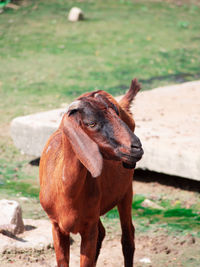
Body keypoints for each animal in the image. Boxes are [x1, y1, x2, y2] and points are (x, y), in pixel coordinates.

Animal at [39, 78, 142, 266]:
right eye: (91, 123)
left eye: (116, 115)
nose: (137, 147)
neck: (66, 194)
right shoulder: (56, 226)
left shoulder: (89, 227)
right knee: (104, 233)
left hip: (125, 191)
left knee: (127, 238)